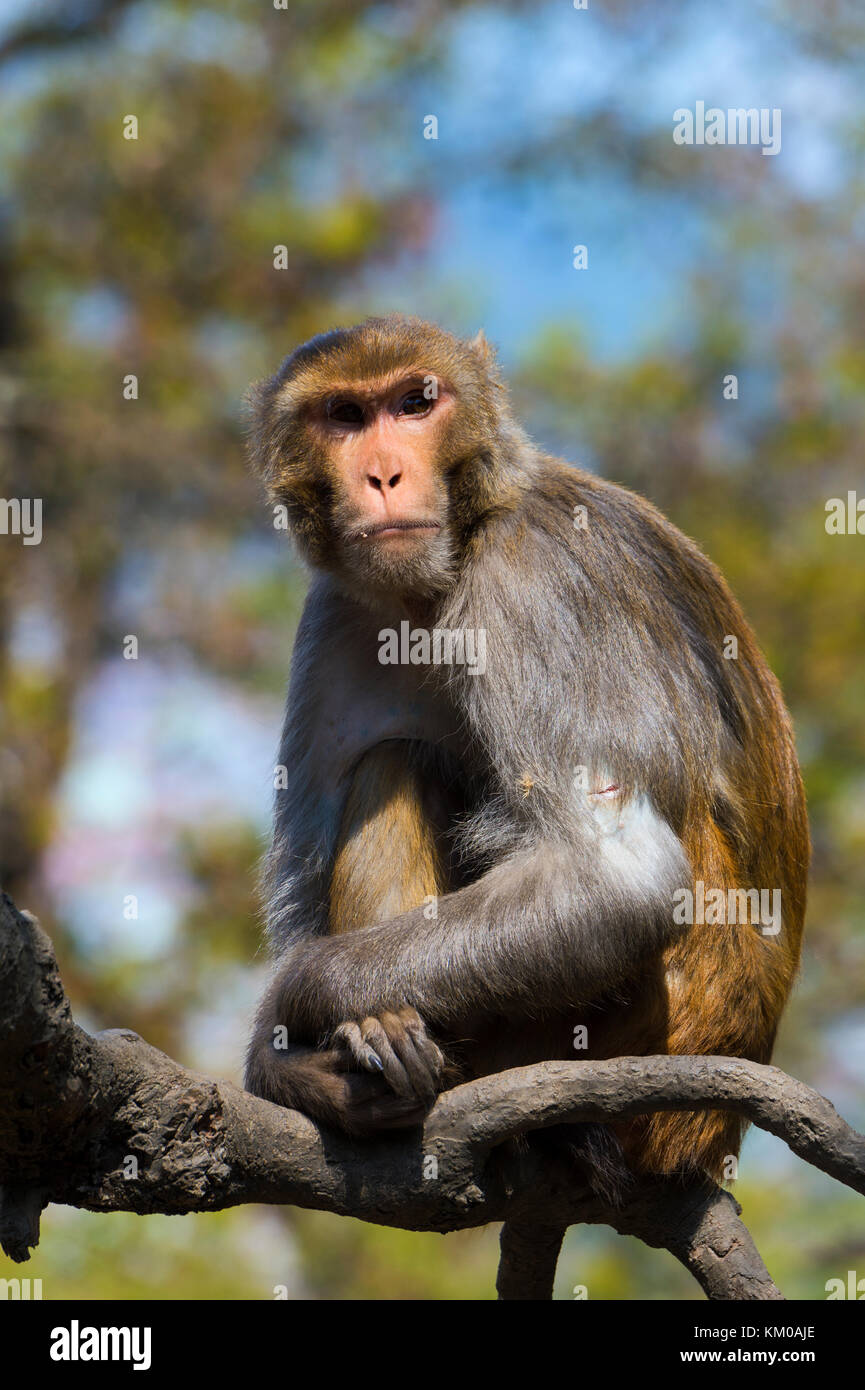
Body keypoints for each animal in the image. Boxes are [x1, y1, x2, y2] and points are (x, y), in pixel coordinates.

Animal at [241, 312, 812, 1184]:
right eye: (344, 415)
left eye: (414, 403)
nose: (381, 475)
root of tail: (707, 1137)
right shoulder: (336, 609)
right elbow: (300, 902)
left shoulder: (529, 574)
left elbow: (615, 882)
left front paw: (293, 1004)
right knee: (393, 760)